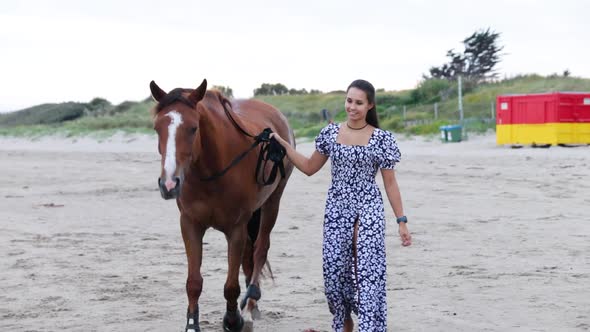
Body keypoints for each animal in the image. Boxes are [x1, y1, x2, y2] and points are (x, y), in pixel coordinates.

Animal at [149, 79, 294, 330]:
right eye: (158, 128)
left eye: (193, 128)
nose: (169, 184)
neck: (211, 172)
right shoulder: (190, 225)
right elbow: (194, 282)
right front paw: (192, 324)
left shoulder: (235, 229)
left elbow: (231, 286)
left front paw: (233, 319)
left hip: (272, 201)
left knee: (260, 249)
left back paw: (251, 301)